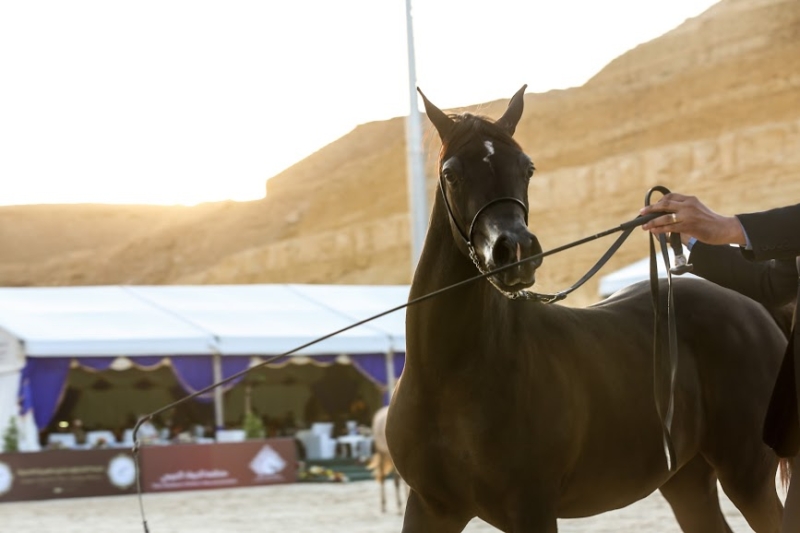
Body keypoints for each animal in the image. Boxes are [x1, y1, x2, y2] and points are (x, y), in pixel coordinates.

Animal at [386, 85, 788, 528]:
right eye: (451, 173)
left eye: (527, 168)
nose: (516, 251)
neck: (448, 376)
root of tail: (756, 308)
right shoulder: (431, 508)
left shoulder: (531, 509)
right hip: (687, 481)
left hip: (748, 475)